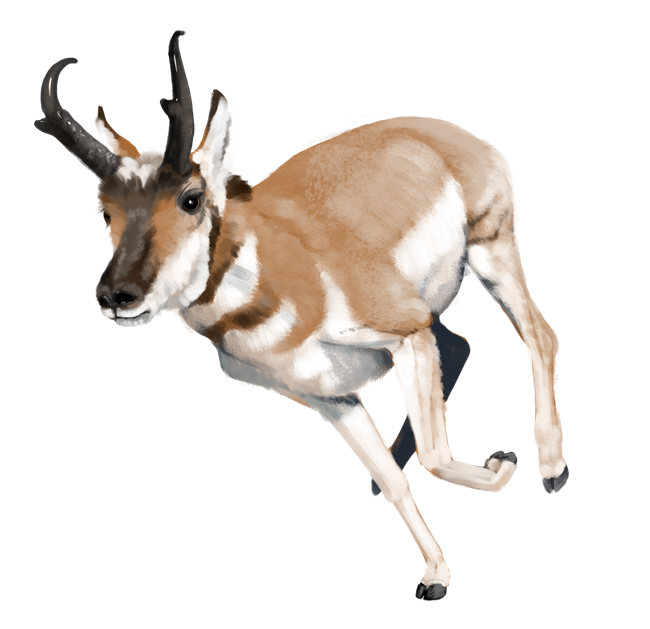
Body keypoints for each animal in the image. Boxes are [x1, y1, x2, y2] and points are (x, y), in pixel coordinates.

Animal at [35, 30, 568, 599]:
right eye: (105, 209)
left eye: (191, 198)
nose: (116, 296)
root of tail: (444, 132)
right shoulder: (332, 398)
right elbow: (394, 479)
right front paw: (436, 573)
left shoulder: (407, 333)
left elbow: (436, 456)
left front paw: (503, 466)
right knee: (462, 346)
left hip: (491, 253)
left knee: (540, 335)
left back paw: (552, 468)